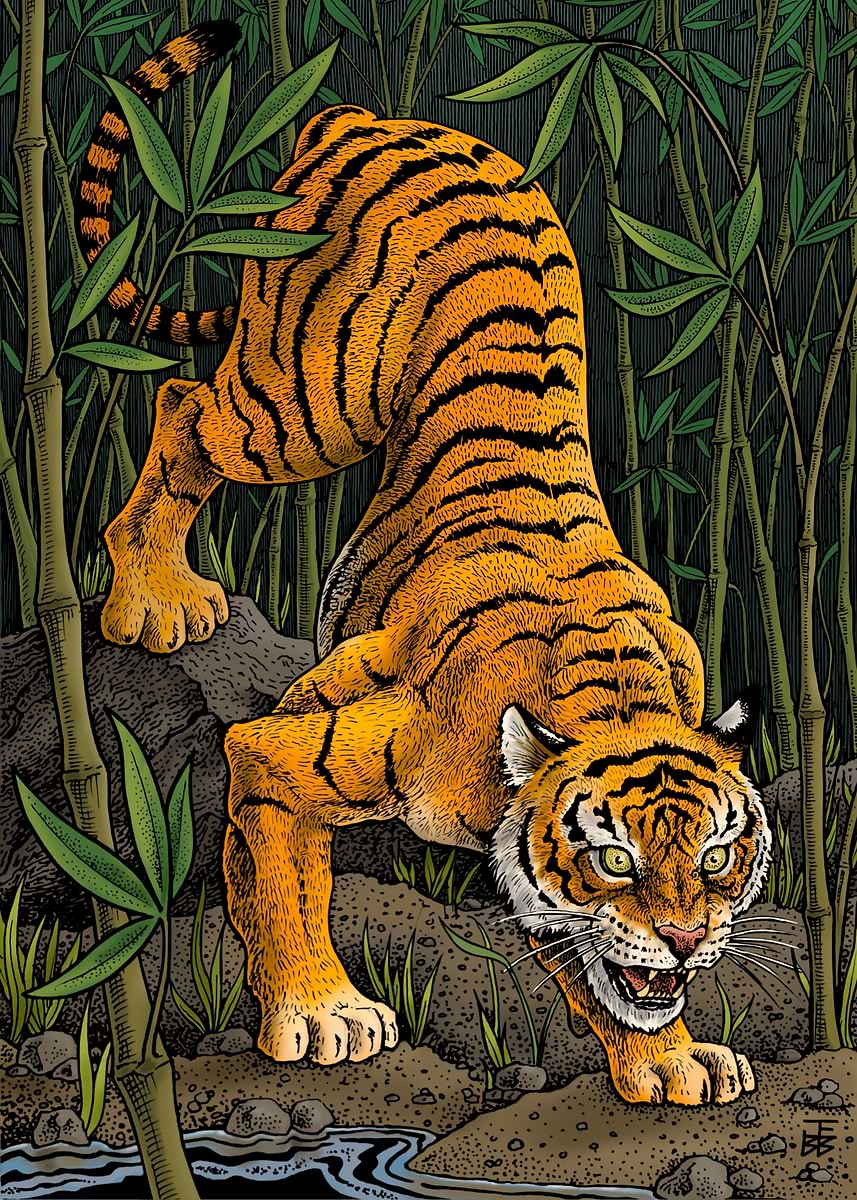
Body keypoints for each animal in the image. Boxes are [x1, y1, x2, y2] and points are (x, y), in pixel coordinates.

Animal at [80, 21, 771, 1105]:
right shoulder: (287, 754)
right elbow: (282, 878)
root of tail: (362, 111)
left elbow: (594, 979)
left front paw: (669, 1061)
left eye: (717, 856)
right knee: (186, 407)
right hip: (303, 402)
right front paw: (323, 1014)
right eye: (613, 860)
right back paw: (156, 601)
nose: (683, 939)